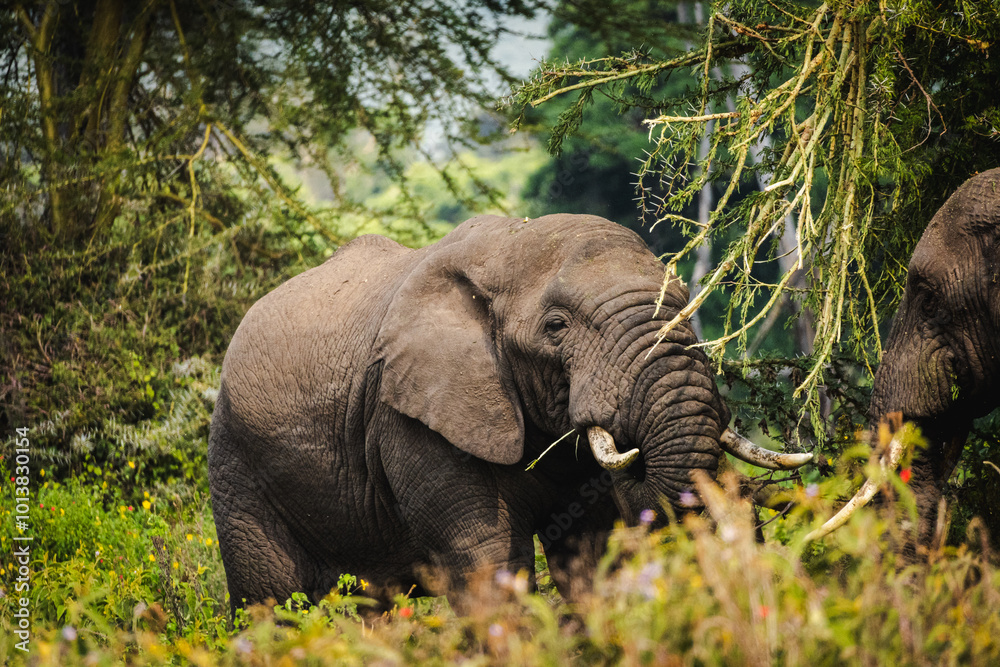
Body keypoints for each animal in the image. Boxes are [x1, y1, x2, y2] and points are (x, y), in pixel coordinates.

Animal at [208, 213, 806, 612]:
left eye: (687, 301)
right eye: (557, 327)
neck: (509, 247)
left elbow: (589, 550)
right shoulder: (410, 417)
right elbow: (489, 560)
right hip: (235, 458)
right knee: (273, 602)